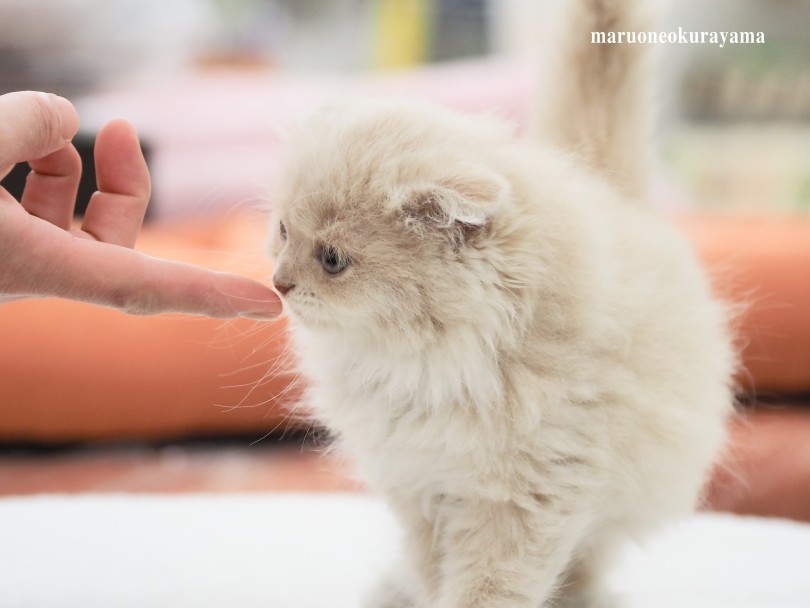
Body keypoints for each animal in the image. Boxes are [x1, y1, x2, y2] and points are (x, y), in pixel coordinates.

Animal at [268, 1, 736, 608]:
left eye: (331, 260)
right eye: (282, 231)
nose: (278, 282)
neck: (430, 369)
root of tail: (612, 188)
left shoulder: (526, 495)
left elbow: (487, 586)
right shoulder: (419, 490)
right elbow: (431, 570)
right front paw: (422, 596)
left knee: (586, 563)